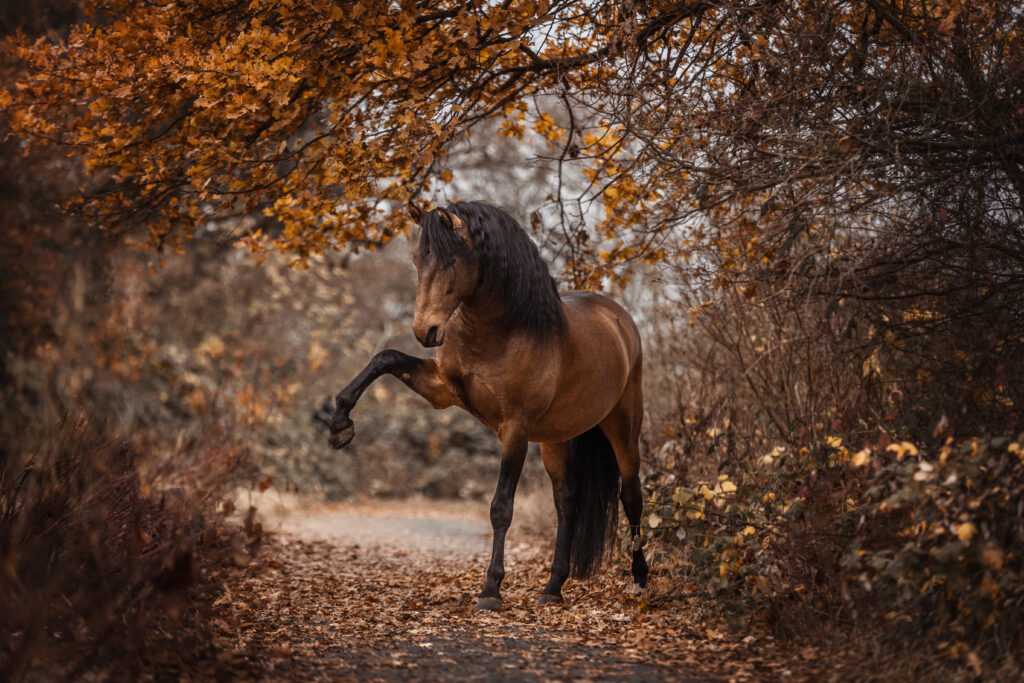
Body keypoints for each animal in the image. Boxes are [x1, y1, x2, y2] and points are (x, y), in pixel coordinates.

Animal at [327, 198, 647, 610]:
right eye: (417, 259)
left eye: (450, 260)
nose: (425, 331)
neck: (503, 332)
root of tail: (620, 321)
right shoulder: (441, 389)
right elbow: (384, 358)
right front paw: (340, 424)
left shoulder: (515, 430)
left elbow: (501, 507)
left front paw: (491, 590)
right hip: (555, 439)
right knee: (567, 502)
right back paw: (552, 587)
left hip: (622, 426)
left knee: (631, 496)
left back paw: (639, 579)